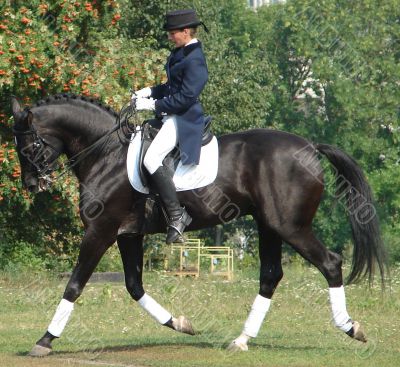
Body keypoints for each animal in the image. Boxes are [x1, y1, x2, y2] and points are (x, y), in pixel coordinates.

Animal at [9, 94, 386, 356]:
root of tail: (309, 146)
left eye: (31, 145)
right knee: (270, 276)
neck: (107, 156)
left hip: (289, 227)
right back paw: (241, 340)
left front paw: (45, 340)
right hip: (269, 226)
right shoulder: (127, 234)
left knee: (330, 263)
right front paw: (180, 323)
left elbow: (74, 285)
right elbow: (134, 286)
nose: (31, 184)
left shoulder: (100, 231)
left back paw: (350, 328)